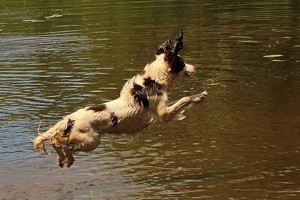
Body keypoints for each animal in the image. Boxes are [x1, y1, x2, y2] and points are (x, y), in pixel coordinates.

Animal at [32, 32, 206, 167]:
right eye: (181, 62)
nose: (195, 67)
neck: (153, 80)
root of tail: (69, 119)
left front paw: (200, 96)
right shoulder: (164, 115)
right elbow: (185, 99)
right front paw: (200, 96)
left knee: (55, 141)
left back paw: (62, 160)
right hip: (91, 141)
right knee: (64, 146)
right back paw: (68, 160)